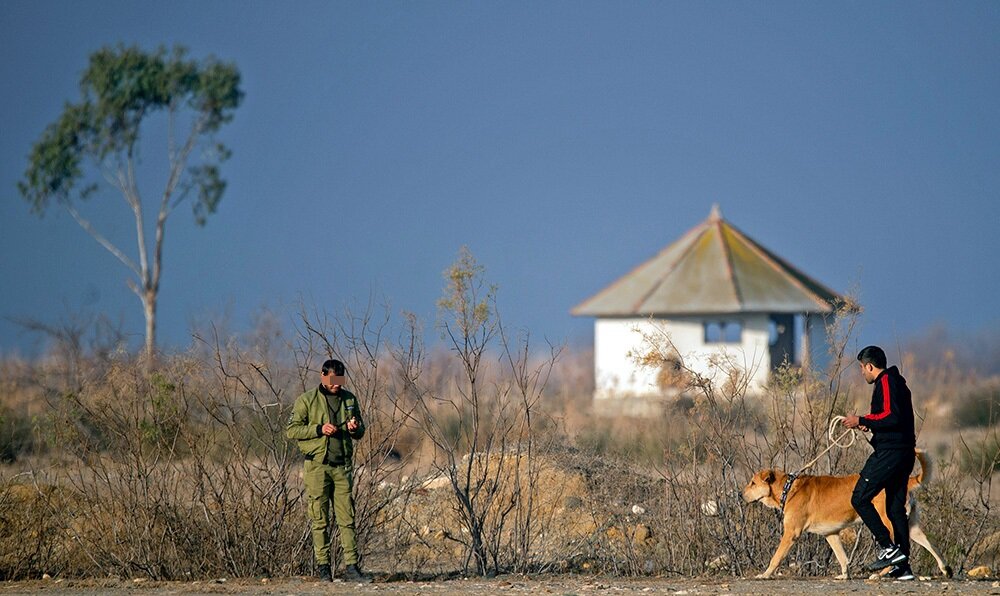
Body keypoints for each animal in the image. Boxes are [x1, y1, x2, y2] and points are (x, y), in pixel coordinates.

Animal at [744, 450, 952, 580]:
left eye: (753, 483)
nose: (740, 494)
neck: (787, 489)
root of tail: (905, 481)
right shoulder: (831, 534)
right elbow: (842, 557)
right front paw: (844, 575)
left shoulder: (791, 533)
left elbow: (776, 557)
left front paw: (765, 574)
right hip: (912, 527)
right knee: (930, 544)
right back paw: (945, 569)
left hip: (886, 524)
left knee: (897, 550)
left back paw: (879, 574)